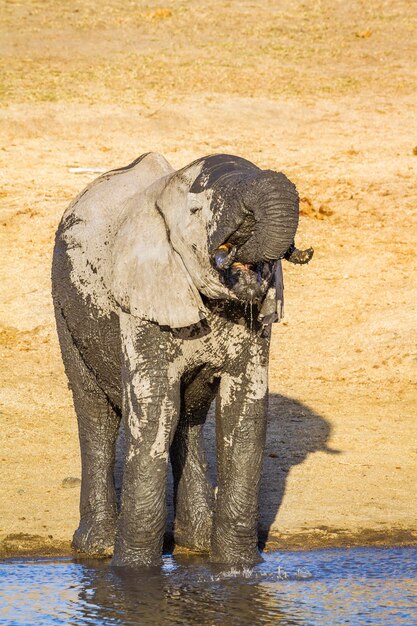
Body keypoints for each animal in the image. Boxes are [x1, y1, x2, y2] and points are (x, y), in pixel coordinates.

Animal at [51, 151, 312, 564]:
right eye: (196, 211)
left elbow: (243, 411)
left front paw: (238, 568)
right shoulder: (142, 303)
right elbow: (155, 410)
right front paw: (133, 573)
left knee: (187, 419)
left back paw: (197, 543)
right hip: (66, 308)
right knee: (96, 415)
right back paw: (97, 547)